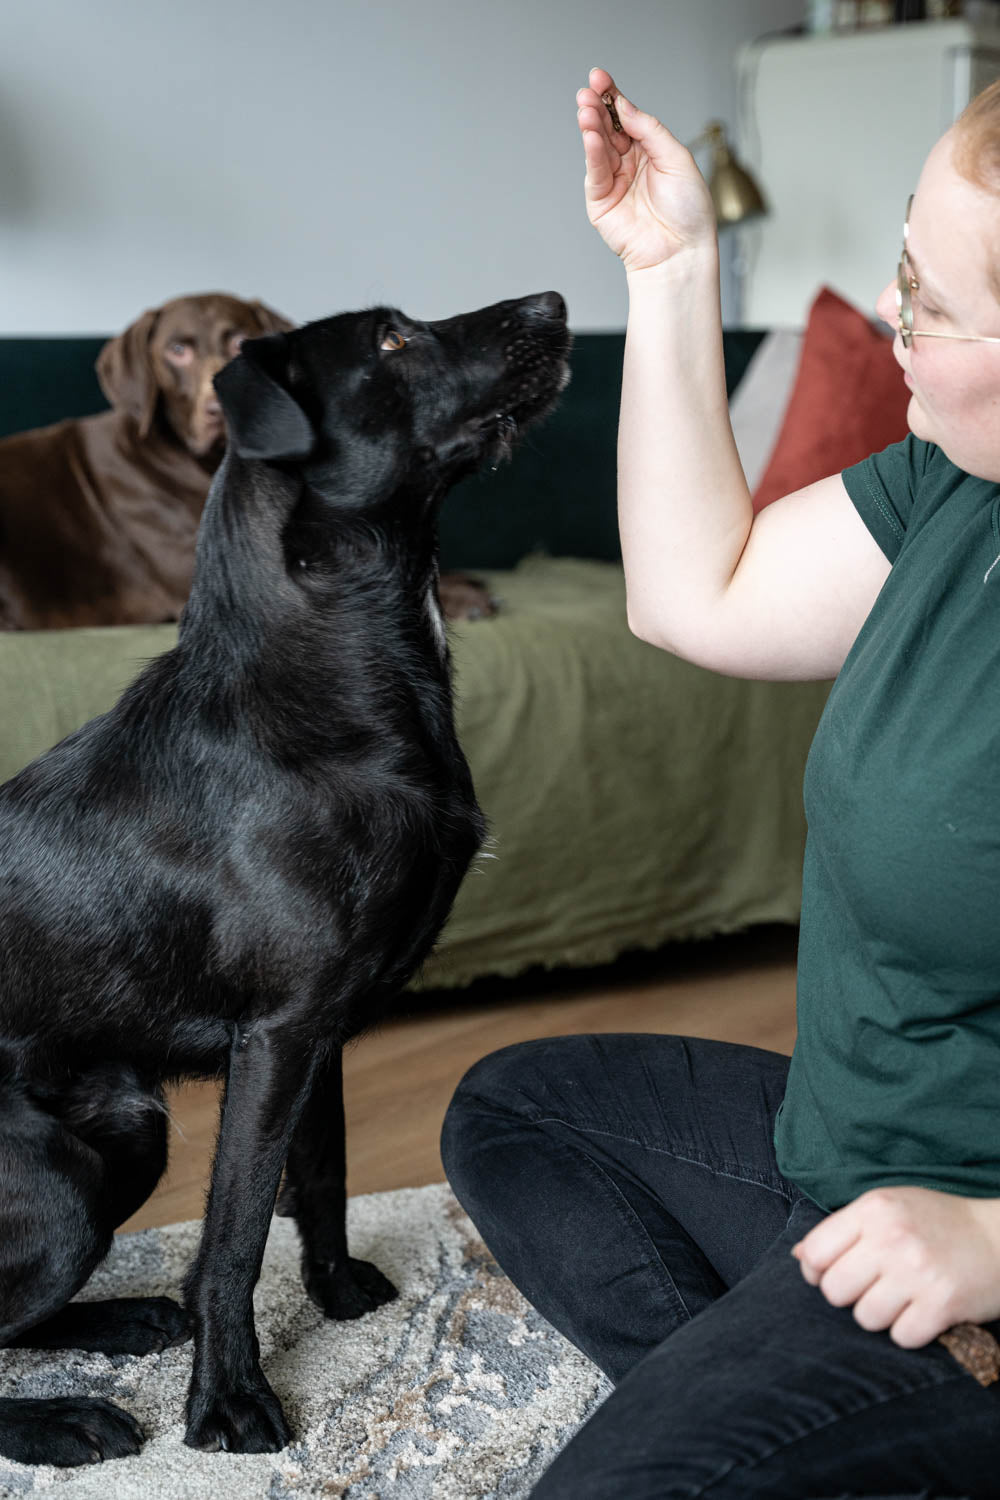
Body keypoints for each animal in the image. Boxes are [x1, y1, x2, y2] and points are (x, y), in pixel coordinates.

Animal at [0, 292, 569, 1464]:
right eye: (392, 339)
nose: (554, 304)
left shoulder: (322, 1027)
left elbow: (324, 1173)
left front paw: (340, 1293)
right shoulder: (275, 1034)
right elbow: (233, 1232)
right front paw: (229, 1405)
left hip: (126, 1127)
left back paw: (123, 1321)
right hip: (59, 1182)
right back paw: (61, 1418)